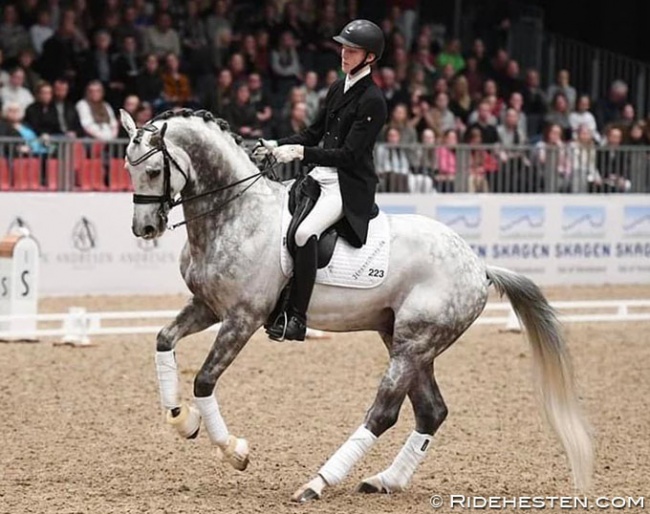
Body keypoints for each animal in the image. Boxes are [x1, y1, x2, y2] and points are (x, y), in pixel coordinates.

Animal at [119, 109, 588, 500]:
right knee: (431, 411)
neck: (237, 215)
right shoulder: (208, 306)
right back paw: (384, 481)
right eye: (128, 167)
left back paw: (317, 483)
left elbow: (204, 380)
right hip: (402, 339)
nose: (145, 228)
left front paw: (234, 450)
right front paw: (181, 418)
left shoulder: (242, 318)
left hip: (414, 344)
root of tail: (479, 266)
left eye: (155, 170)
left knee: (383, 413)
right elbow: (163, 340)